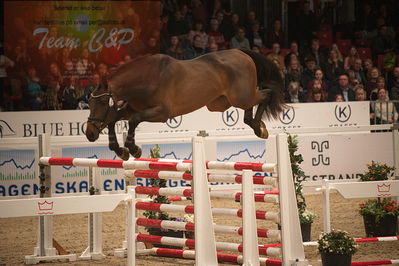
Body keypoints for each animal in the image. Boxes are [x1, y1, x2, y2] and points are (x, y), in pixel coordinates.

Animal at [86, 48, 288, 160]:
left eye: (102, 101)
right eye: (89, 102)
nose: (89, 134)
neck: (146, 78)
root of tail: (242, 53)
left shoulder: (162, 113)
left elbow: (133, 120)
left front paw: (134, 149)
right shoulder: (131, 108)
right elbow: (113, 119)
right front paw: (120, 151)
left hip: (241, 97)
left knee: (266, 95)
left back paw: (259, 128)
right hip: (222, 103)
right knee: (251, 106)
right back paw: (256, 125)